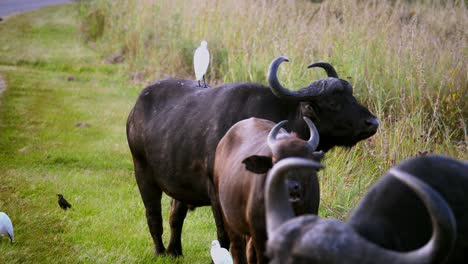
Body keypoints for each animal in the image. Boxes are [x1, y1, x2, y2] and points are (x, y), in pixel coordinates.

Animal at [125, 55, 380, 256]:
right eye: (333, 101)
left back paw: (175, 251)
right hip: (142, 172)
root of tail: (136, 107)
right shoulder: (216, 193)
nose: (373, 122)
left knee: (175, 215)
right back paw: (160, 251)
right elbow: (224, 235)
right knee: (154, 215)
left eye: (352, 96)